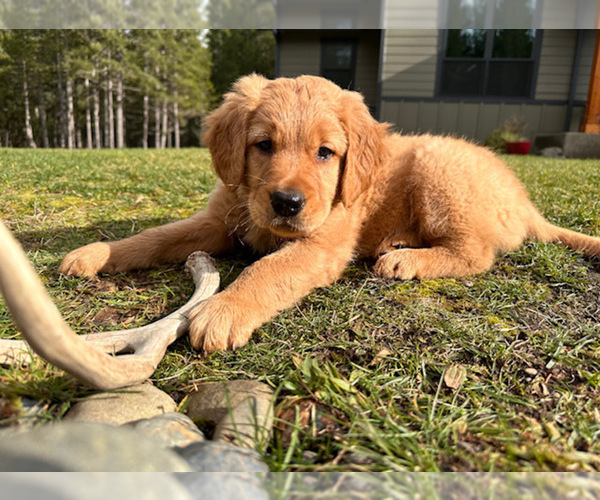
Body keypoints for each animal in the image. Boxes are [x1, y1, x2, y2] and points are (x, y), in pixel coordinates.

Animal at [59, 75, 600, 356]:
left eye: (325, 153)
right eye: (263, 145)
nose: (286, 202)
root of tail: (525, 200)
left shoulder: (322, 243)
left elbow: (267, 268)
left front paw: (224, 310)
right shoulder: (218, 221)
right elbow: (154, 236)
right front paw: (95, 253)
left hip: (438, 168)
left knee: (476, 253)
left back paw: (406, 259)